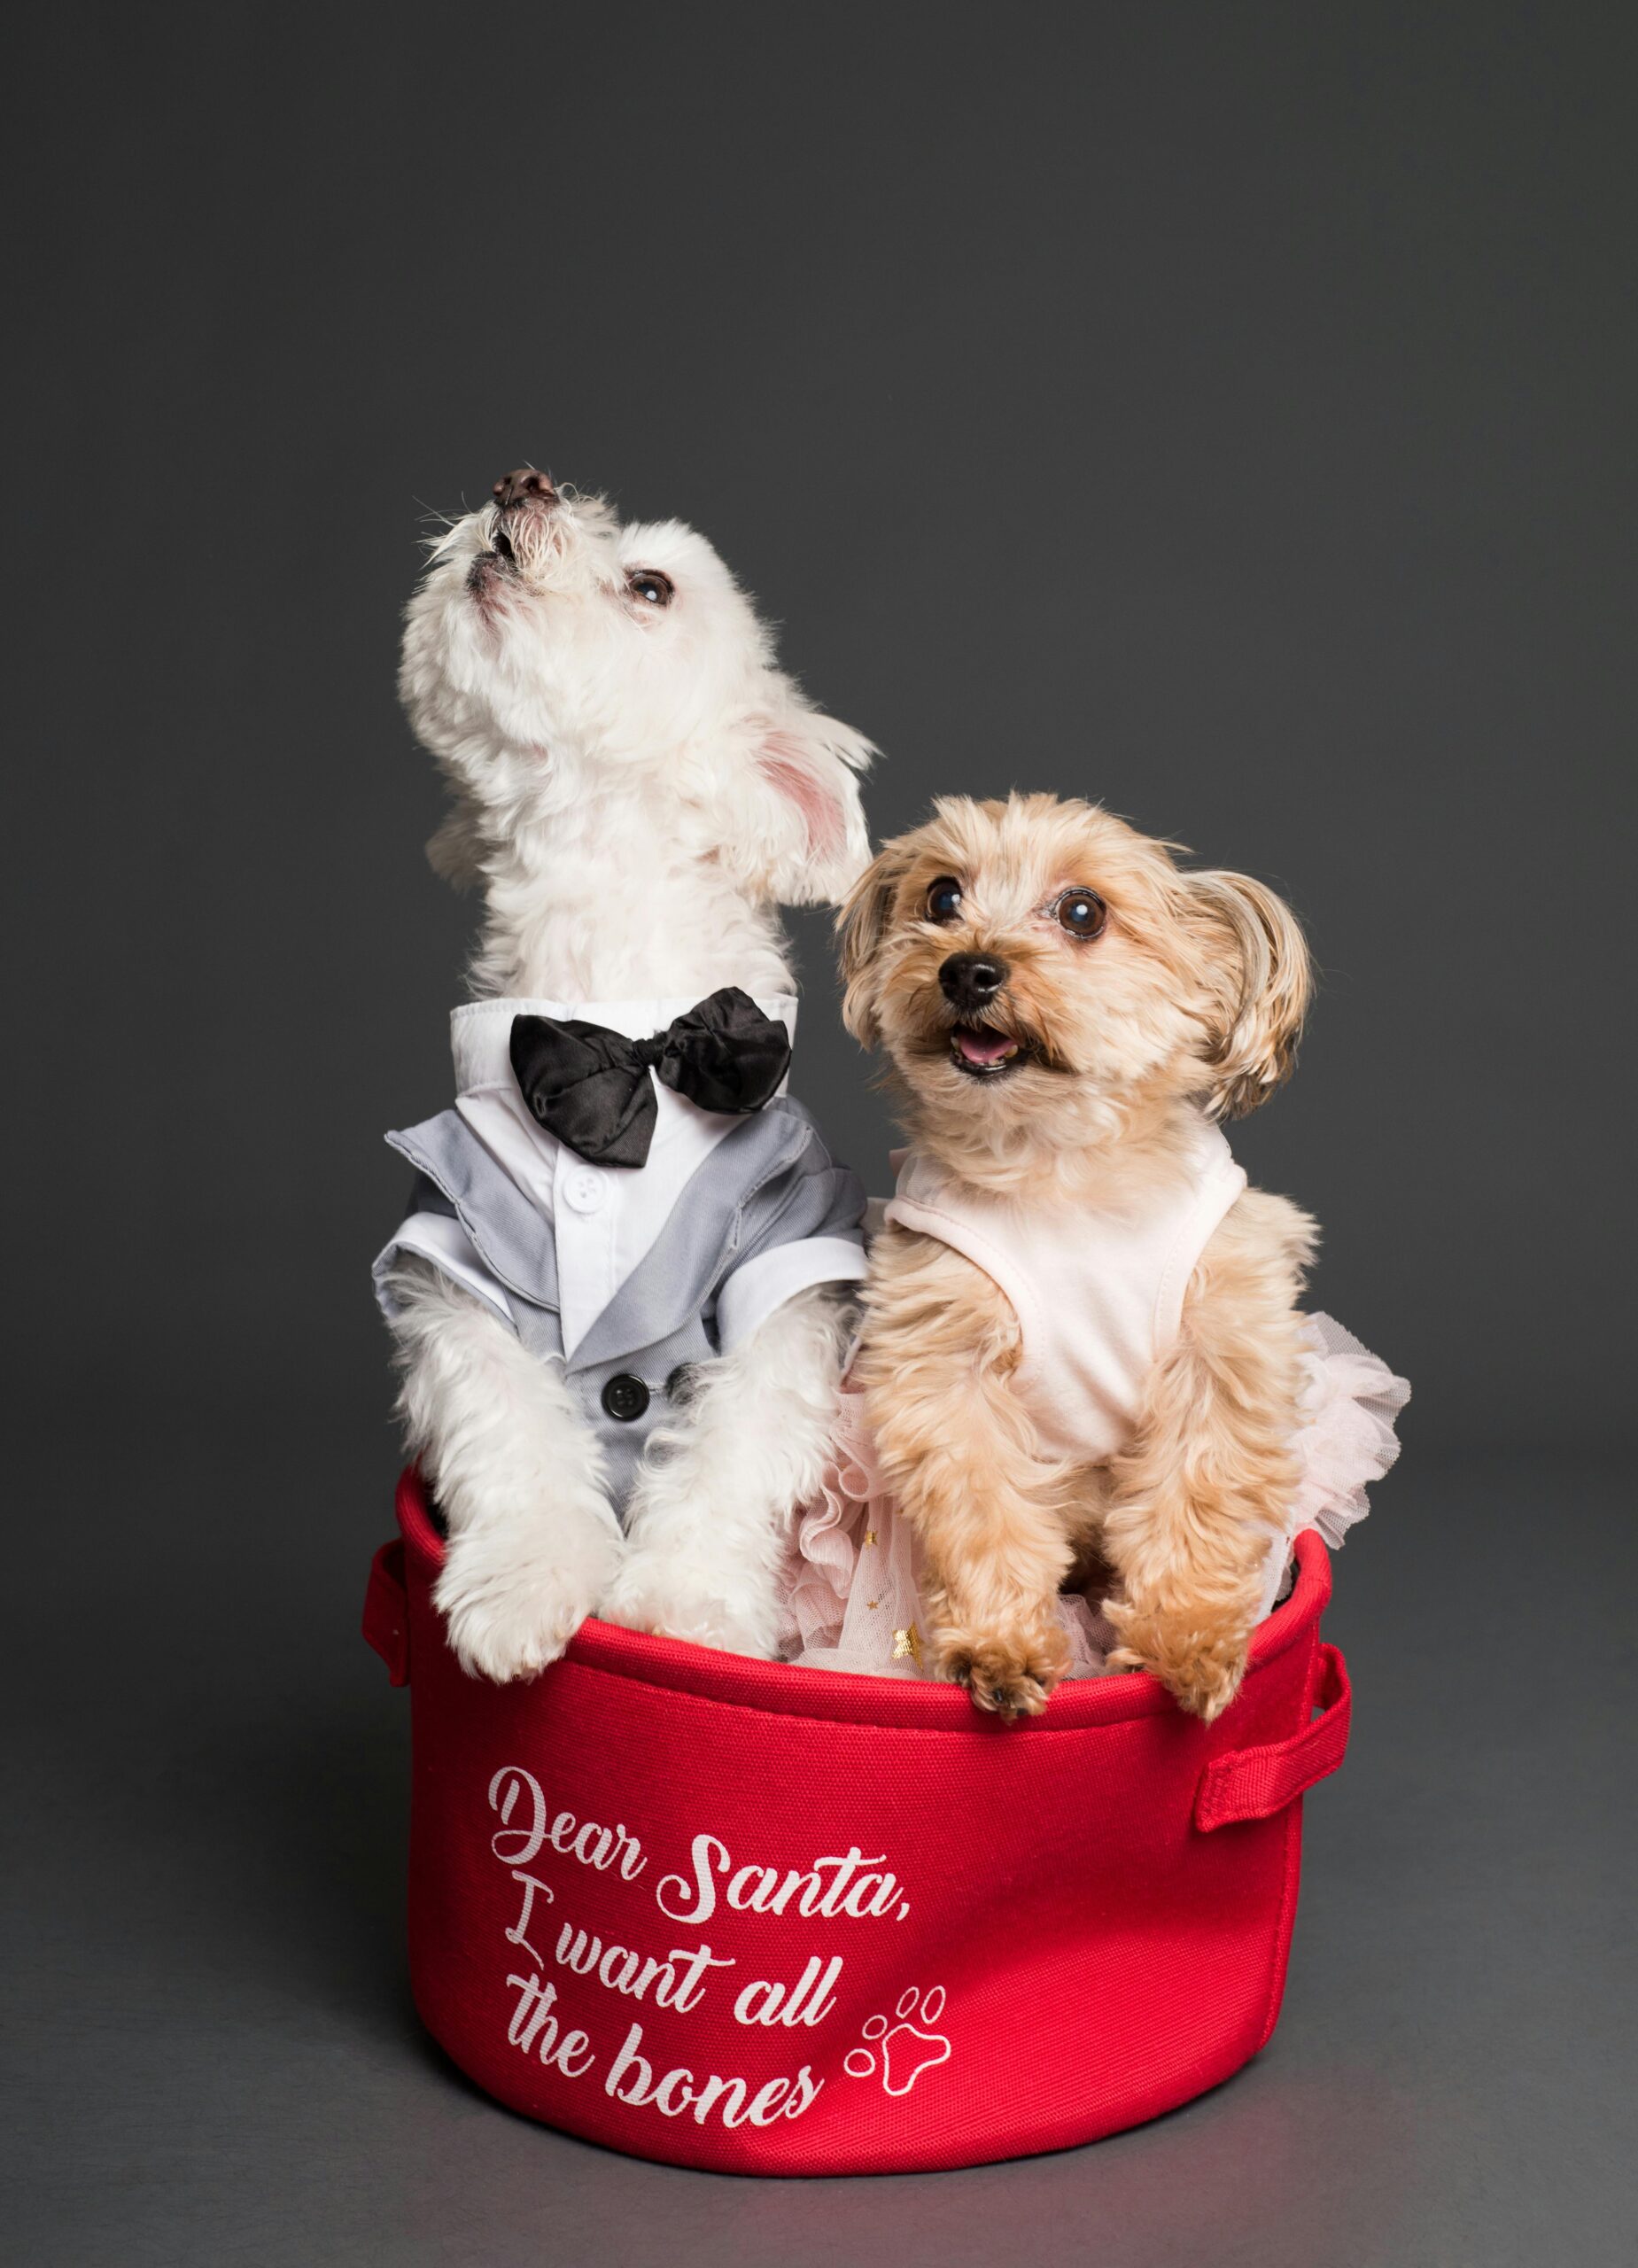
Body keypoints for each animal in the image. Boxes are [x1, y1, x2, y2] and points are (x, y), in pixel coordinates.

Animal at [378, 474, 875, 1687]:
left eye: (650, 586)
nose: (520, 481)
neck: (618, 1022)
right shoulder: (443, 1267)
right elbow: (504, 1421)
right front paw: (526, 1584)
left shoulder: (790, 1278)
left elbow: (731, 1451)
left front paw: (682, 1608)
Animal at [843, 798, 1316, 1714]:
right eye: (941, 897)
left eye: (1083, 912)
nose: (967, 970)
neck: (1057, 1164)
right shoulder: (944, 1364)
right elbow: (979, 1506)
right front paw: (998, 1645)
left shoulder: (1219, 1350)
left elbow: (1196, 1490)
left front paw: (1186, 1638)